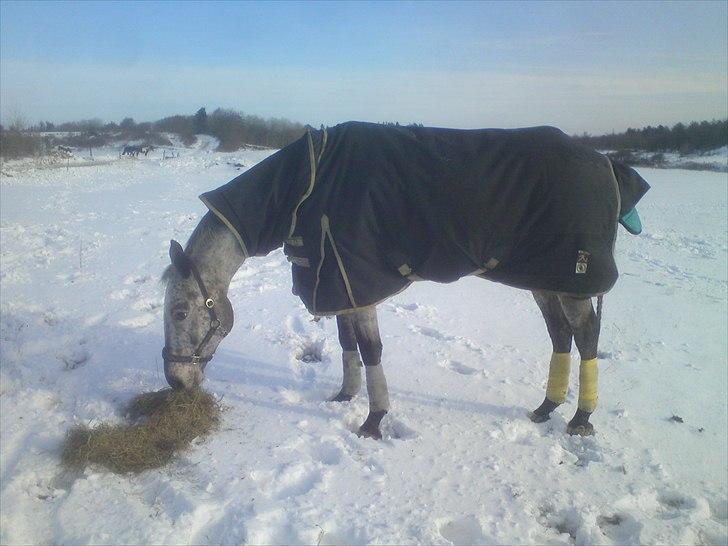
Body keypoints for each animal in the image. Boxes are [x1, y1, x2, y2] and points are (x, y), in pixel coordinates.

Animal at [161, 122, 648, 438]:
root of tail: (608, 165)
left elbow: (371, 350)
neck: (306, 186)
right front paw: (345, 396)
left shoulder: (358, 283)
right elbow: (347, 344)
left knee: (585, 335)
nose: (176, 383)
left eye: (180, 311)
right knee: (561, 334)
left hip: (572, 281)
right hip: (545, 279)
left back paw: (581, 419)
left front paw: (373, 422)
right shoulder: (342, 284)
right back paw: (546, 407)